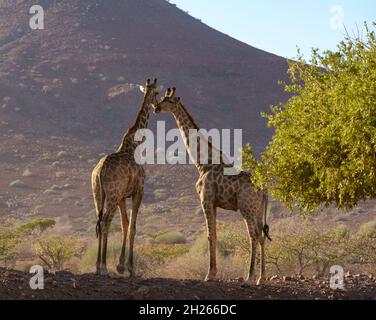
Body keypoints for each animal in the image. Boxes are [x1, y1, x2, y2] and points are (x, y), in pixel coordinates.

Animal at [91, 78, 159, 276]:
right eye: (157, 93)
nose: (157, 107)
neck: (134, 145)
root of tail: (99, 172)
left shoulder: (122, 196)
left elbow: (124, 225)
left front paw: (120, 265)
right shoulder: (138, 192)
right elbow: (133, 227)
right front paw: (130, 267)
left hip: (98, 194)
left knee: (99, 221)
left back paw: (98, 266)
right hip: (112, 195)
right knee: (105, 222)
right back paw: (103, 267)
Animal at [154, 88, 272, 288]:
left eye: (168, 101)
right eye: (162, 98)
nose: (156, 107)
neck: (203, 164)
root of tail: (263, 189)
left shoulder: (206, 200)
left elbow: (210, 235)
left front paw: (209, 274)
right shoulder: (215, 203)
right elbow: (215, 235)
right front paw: (213, 273)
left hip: (247, 208)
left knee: (254, 235)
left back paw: (248, 278)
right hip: (258, 210)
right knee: (262, 235)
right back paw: (261, 278)